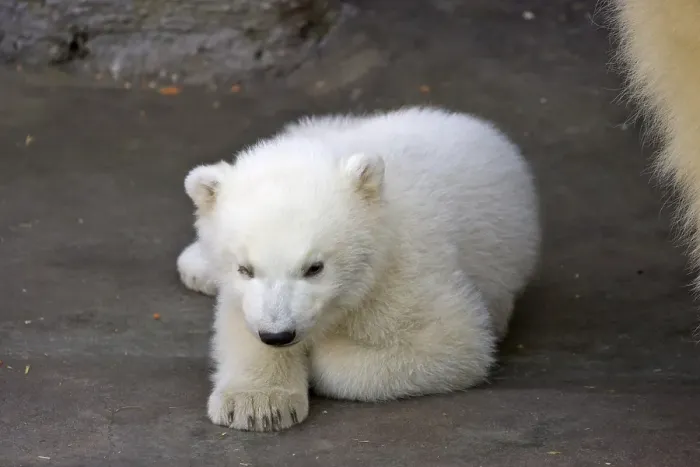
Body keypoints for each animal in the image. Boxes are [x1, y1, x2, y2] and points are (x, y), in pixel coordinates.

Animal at [177, 106, 541, 432]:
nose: (278, 335)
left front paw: (320, 355)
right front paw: (256, 404)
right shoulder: (241, 298)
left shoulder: (404, 275)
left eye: (315, 268)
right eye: (245, 269)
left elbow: (451, 341)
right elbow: (239, 326)